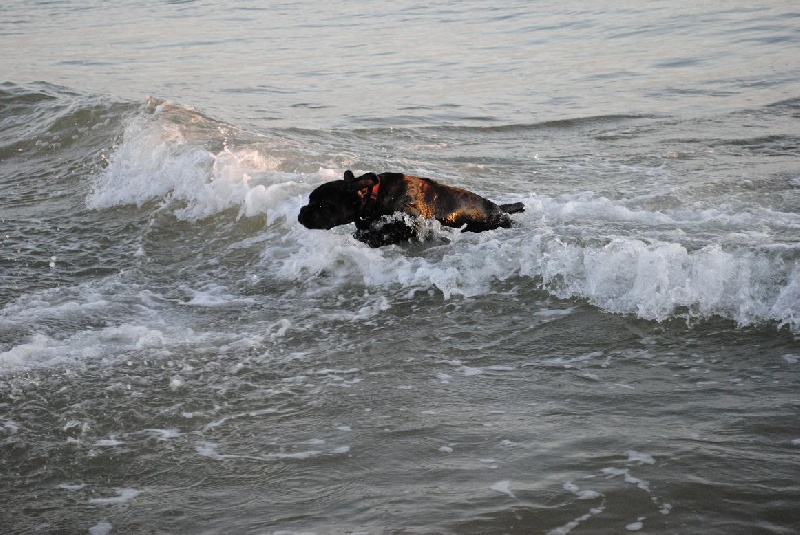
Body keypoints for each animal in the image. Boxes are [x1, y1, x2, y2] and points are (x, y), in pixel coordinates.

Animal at [298, 171, 524, 248]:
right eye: (310, 200)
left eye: (321, 204)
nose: (301, 213)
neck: (374, 197)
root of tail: (499, 209)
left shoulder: (411, 220)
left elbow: (388, 231)